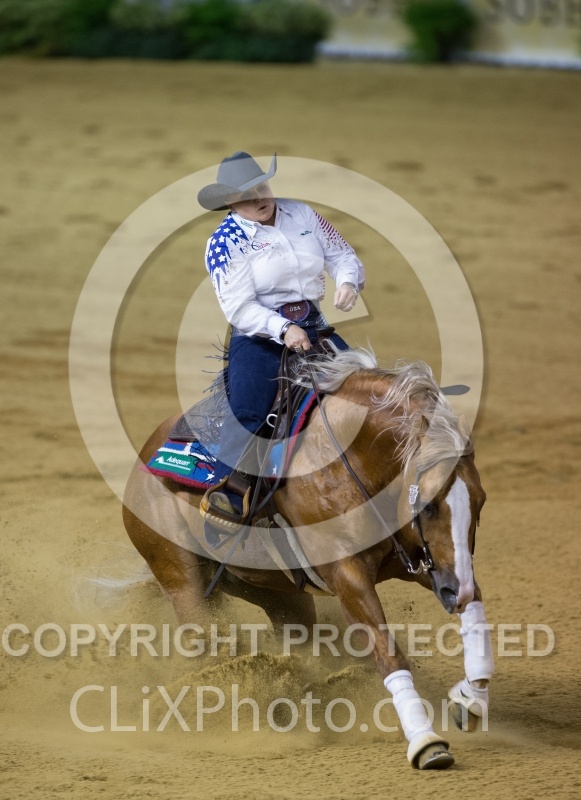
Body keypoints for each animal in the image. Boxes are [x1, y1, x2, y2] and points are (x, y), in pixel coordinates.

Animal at [122, 347, 493, 770]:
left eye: (481, 501)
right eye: (428, 506)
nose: (454, 592)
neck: (347, 459)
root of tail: (147, 454)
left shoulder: (426, 564)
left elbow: (477, 613)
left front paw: (471, 701)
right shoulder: (347, 576)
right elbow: (389, 655)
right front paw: (425, 741)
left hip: (277, 593)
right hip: (181, 579)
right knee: (205, 647)